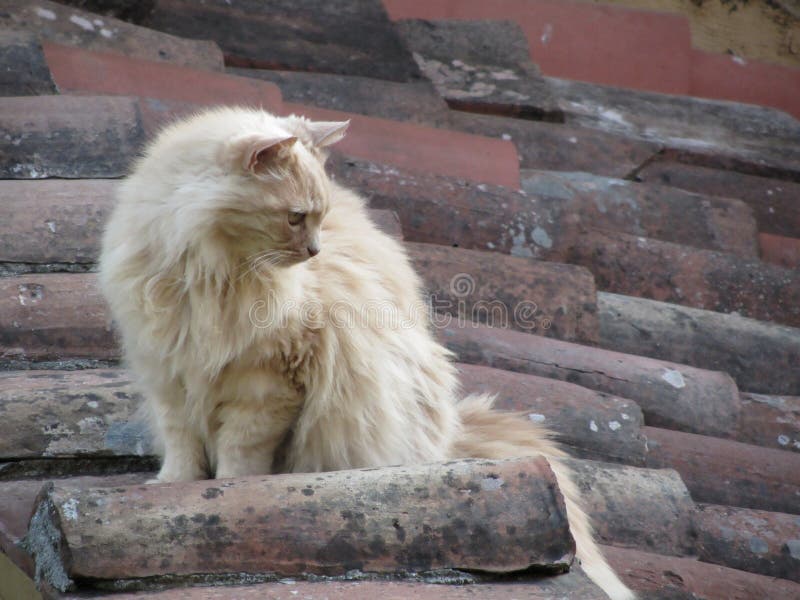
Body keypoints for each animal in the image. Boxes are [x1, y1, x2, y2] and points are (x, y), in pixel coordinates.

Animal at [100, 108, 636, 600]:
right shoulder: (169, 376)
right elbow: (182, 446)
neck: (210, 278)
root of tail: (453, 436)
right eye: (295, 217)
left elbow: (240, 450)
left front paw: (228, 490)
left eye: (318, 218)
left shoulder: (267, 383)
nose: (314, 251)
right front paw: (172, 487)